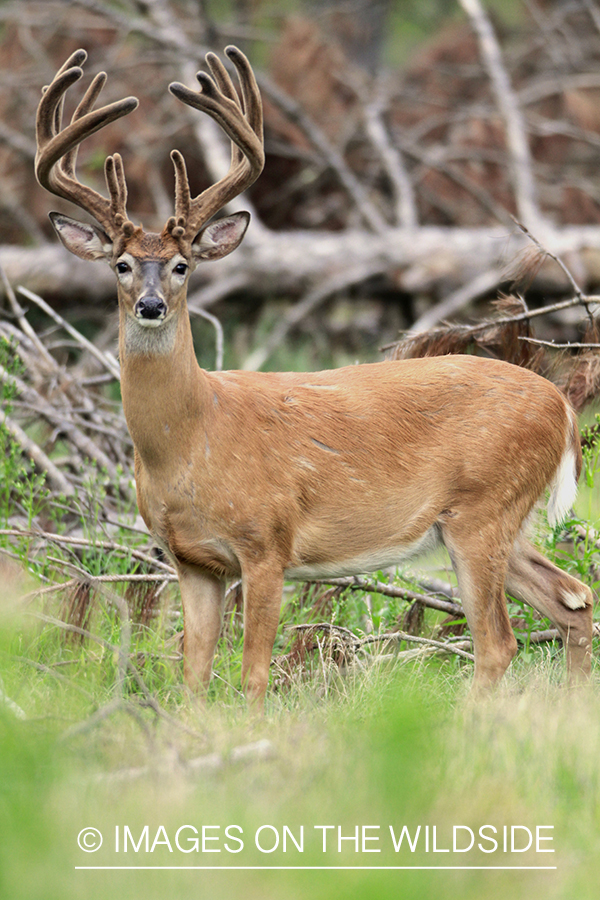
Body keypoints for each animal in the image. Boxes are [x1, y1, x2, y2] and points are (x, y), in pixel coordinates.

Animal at [35, 47, 592, 712]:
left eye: (182, 265)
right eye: (121, 265)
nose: (150, 305)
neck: (194, 436)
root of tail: (561, 406)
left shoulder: (267, 542)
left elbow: (252, 674)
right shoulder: (191, 561)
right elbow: (193, 677)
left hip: (482, 511)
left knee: (499, 643)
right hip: (503, 522)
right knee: (573, 599)